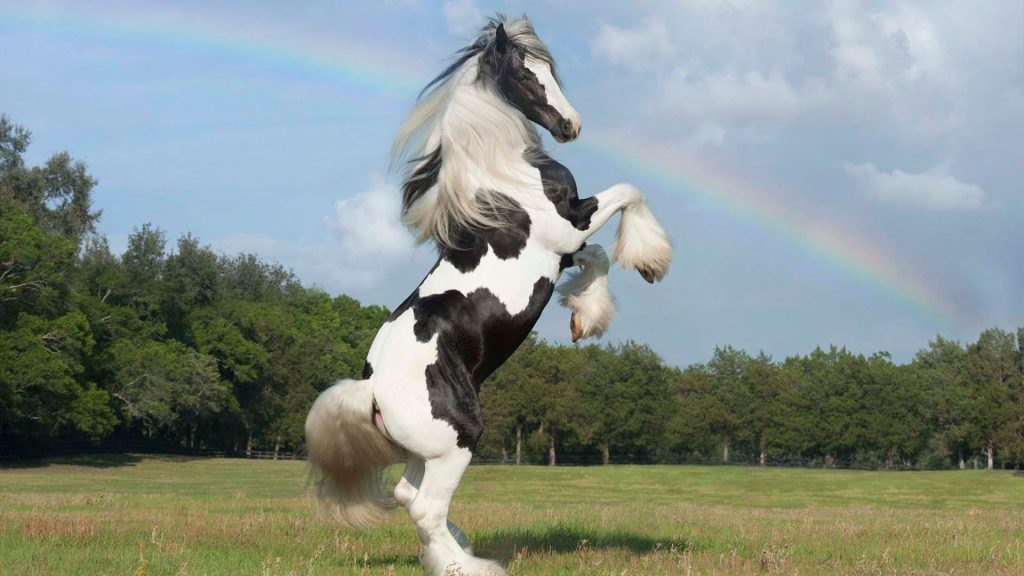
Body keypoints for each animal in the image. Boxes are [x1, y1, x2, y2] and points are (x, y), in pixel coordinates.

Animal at [305, 16, 672, 576]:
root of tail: (370, 392)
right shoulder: (568, 227)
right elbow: (630, 192)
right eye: (524, 75)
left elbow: (599, 257)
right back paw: (467, 567)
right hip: (459, 438)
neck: (504, 178)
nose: (571, 126)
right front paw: (651, 259)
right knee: (426, 506)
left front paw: (585, 316)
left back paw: (459, 553)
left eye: (550, 69)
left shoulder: (566, 250)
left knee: (411, 498)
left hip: (426, 452)